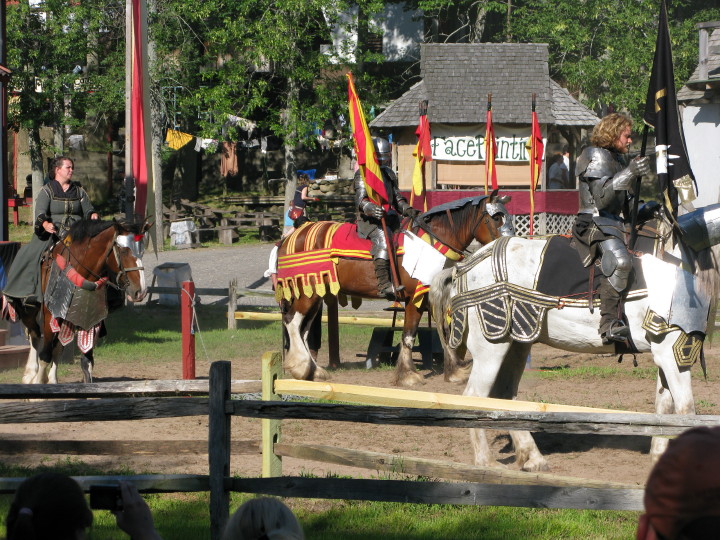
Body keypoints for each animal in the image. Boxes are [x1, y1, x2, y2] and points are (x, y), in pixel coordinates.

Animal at [11, 216, 149, 384]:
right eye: (123, 251)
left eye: (142, 252)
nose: (140, 291)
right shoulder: (50, 315)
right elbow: (45, 355)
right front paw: (38, 383)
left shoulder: (91, 319)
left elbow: (87, 361)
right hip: (29, 311)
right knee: (35, 335)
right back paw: (30, 374)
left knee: (57, 347)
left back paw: (51, 379)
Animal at [278, 192, 512, 386]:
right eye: (495, 218)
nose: (509, 242)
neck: (433, 242)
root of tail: (291, 237)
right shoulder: (413, 299)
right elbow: (409, 335)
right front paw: (408, 375)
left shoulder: (431, 297)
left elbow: (444, 331)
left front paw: (454, 372)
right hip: (307, 294)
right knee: (292, 322)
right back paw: (300, 367)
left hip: (315, 294)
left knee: (303, 330)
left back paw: (313, 371)